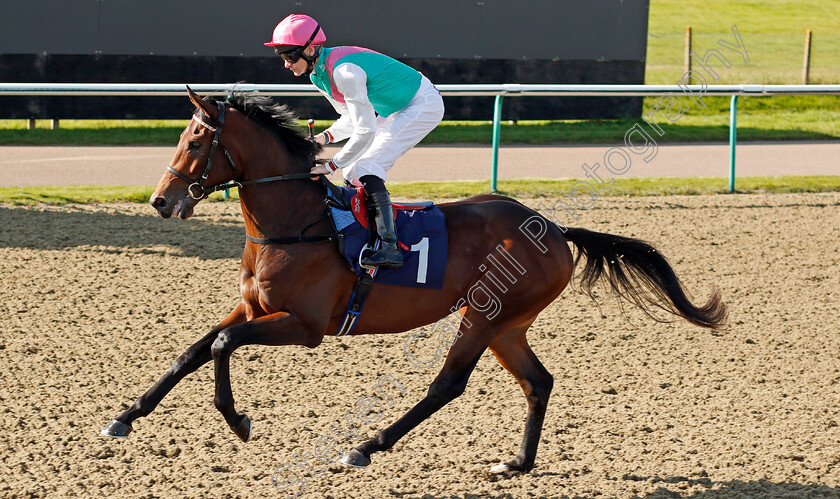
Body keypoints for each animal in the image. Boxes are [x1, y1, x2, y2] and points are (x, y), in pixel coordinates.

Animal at [100, 88, 728, 474]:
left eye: (195, 140)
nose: (160, 201)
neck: (295, 224)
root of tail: (551, 226)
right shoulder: (255, 310)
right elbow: (194, 350)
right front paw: (125, 417)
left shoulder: (304, 326)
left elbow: (223, 347)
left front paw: (239, 421)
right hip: (509, 325)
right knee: (538, 382)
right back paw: (516, 462)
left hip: (485, 314)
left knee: (447, 385)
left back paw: (366, 447)